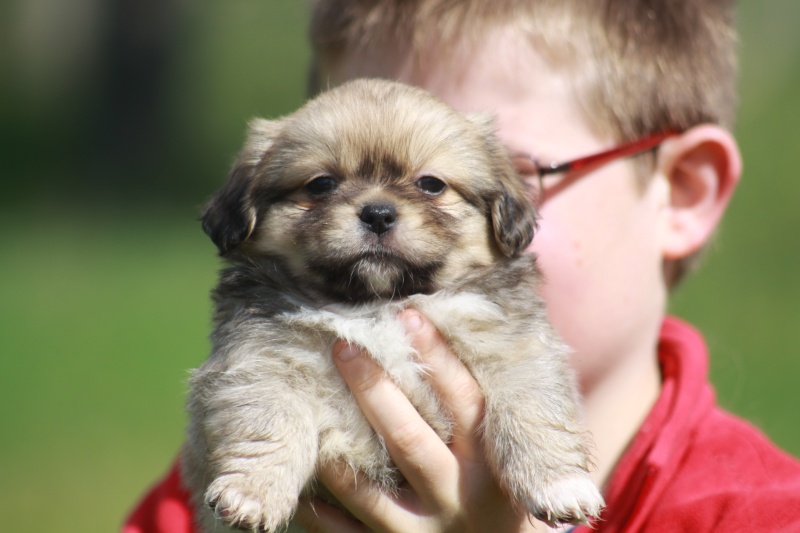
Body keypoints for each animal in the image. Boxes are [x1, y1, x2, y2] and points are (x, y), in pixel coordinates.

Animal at [183, 77, 608, 528]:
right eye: (320, 184)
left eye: (431, 184)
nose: (378, 213)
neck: (376, 304)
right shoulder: (262, 360)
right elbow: (269, 421)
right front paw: (254, 493)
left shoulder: (516, 350)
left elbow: (532, 409)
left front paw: (559, 484)